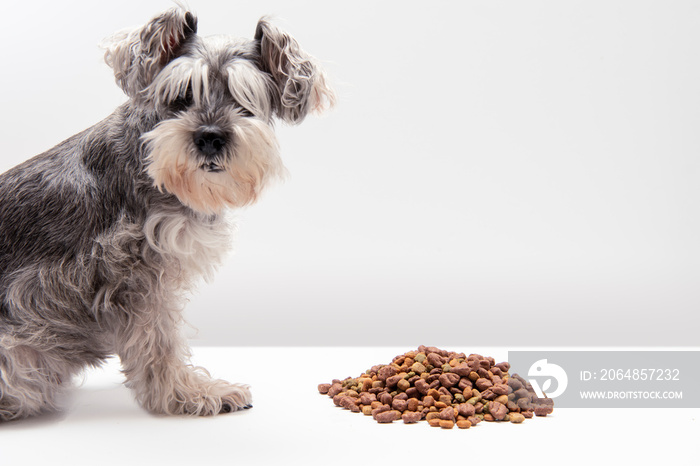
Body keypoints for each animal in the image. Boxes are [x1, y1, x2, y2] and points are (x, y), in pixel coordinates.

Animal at [0, 5, 334, 420]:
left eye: (246, 100)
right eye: (181, 95)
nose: (210, 136)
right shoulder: (134, 274)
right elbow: (158, 341)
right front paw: (190, 394)